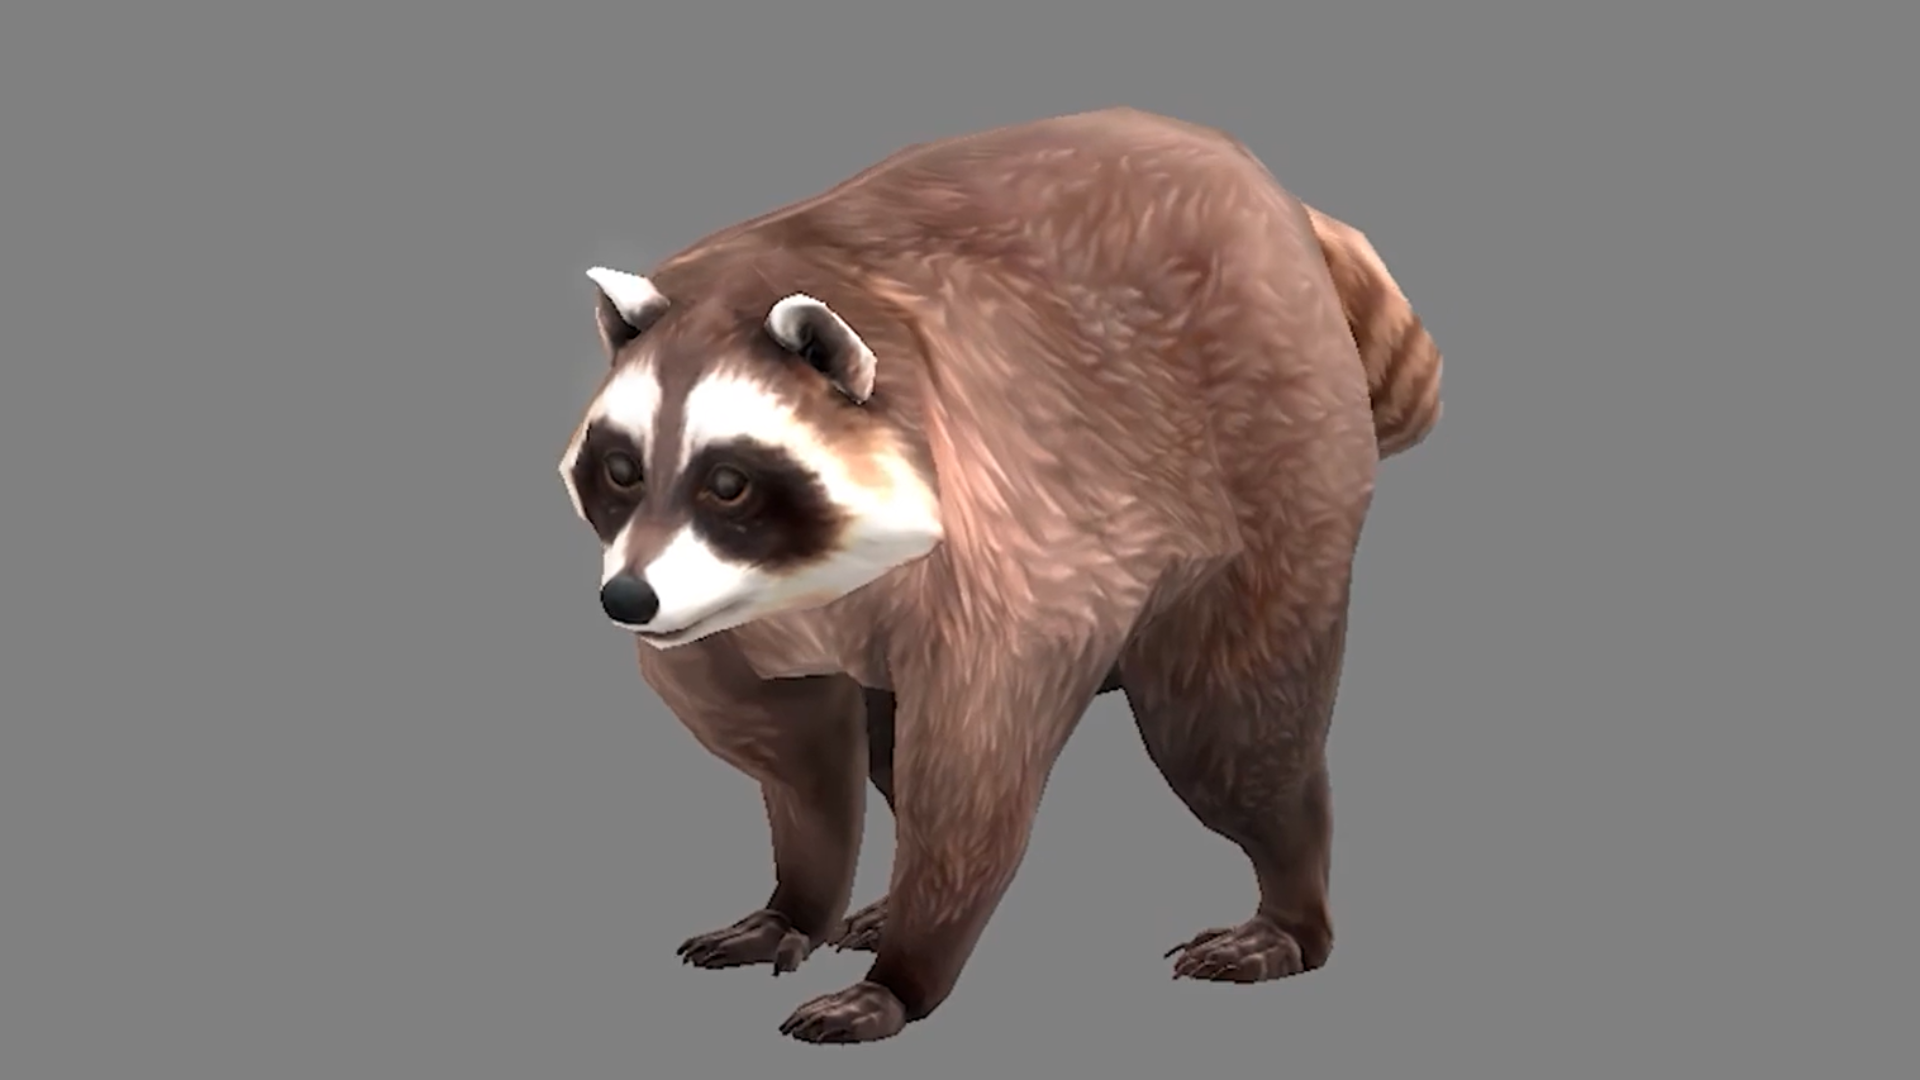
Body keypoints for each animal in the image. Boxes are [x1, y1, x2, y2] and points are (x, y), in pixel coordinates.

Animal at [557, 106, 1442, 1043]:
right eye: (621, 469)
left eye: (728, 481)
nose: (626, 599)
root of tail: (1281, 202)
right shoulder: (725, 616)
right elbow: (797, 755)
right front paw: (801, 900)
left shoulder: (1003, 517)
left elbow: (973, 767)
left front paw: (902, 974)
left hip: (1280, 455)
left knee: (1231, 729)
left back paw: (1291, 905)